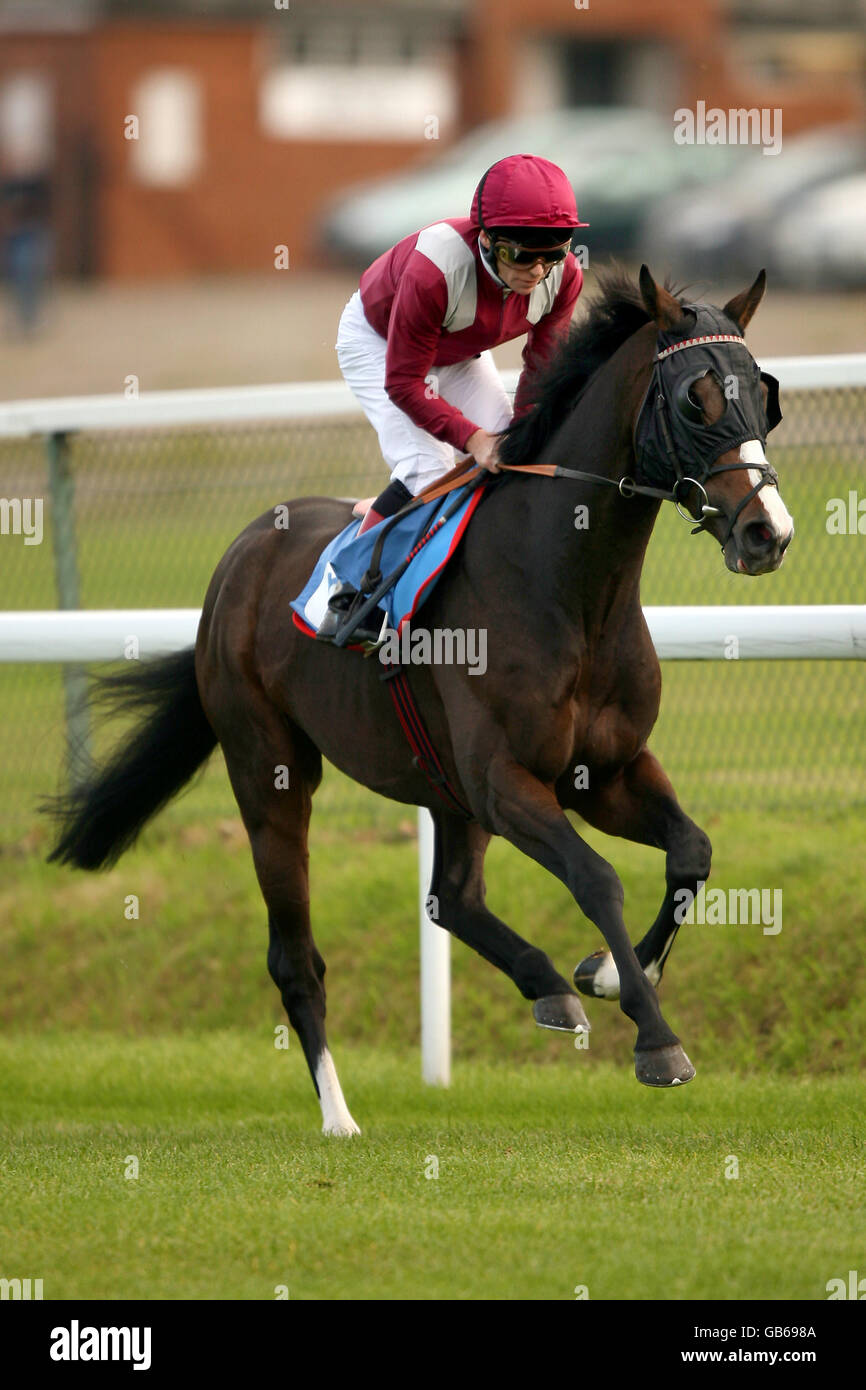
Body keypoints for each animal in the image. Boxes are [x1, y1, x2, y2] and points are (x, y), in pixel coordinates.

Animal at [44, 265, 795, 1134]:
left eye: (764, 395)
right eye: (695, 399)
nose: (768, 532)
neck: (570, 590)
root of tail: (236, 561)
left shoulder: (605, 772)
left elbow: (692, 851)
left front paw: (605, 974)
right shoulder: (505, 781)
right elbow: (596, 878)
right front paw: (656, 1039)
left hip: (443, 788)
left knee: (451, 900)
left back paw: (546, 987)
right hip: (270, 774)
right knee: (295, 955)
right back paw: (339, 1116)